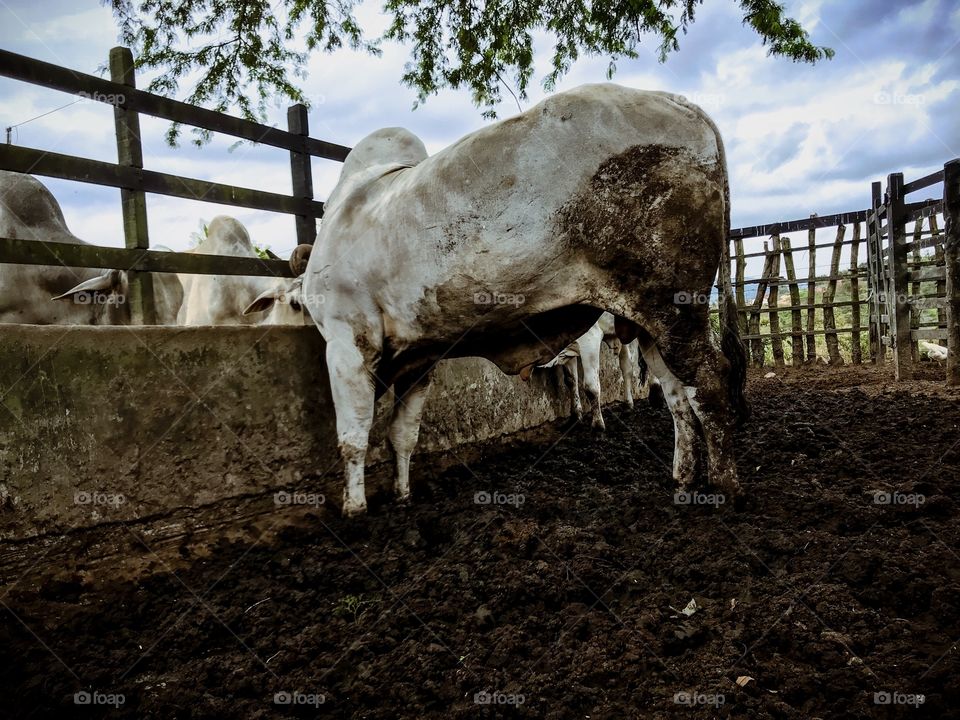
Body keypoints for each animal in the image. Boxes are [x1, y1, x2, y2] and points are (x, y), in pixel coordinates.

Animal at [299, 83, 749, 516]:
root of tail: (677, 101)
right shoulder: (420, 356)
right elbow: (402, 435)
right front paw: (402, 494)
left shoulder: (346, 342)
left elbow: (352, 436)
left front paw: (354, 508)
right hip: (652, 323)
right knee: (678, 396)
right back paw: (683, 480)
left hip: (674, 307)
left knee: (710, 381)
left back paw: (724, 487)